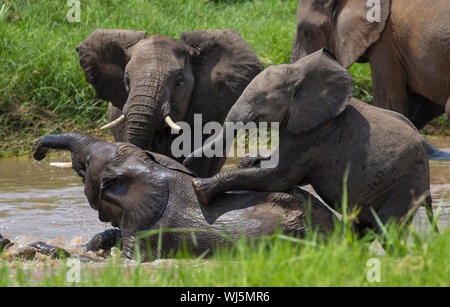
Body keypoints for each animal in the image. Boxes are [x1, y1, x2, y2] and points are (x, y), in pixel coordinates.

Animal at [184, 49, 436, 235]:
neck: (301, 77)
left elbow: (277, 177)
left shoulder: (316, 135)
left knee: (388, 232)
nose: (187, 162)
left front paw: (199, 188)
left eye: (259, 100)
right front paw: (249, 161)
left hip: (403, 186)